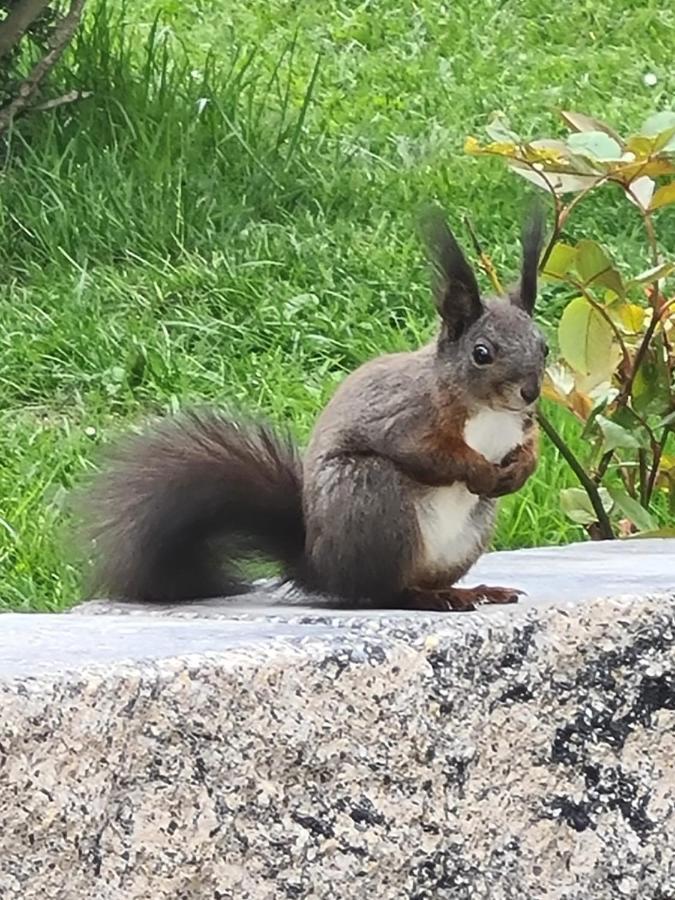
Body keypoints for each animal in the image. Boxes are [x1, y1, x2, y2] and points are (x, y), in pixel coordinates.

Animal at [82, 206, 548, 612]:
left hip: (467, 533)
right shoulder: (406, 416)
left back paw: (472, 591)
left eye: (543, 345)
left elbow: (530, 444)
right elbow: (428, 453)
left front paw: (522, 467)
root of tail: (322, 567)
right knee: (384, 591)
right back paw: (427, 598)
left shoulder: (520, 424)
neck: (489, 411)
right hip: (374, 501)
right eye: (482, 353)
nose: (530, 392)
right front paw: (480, 470)